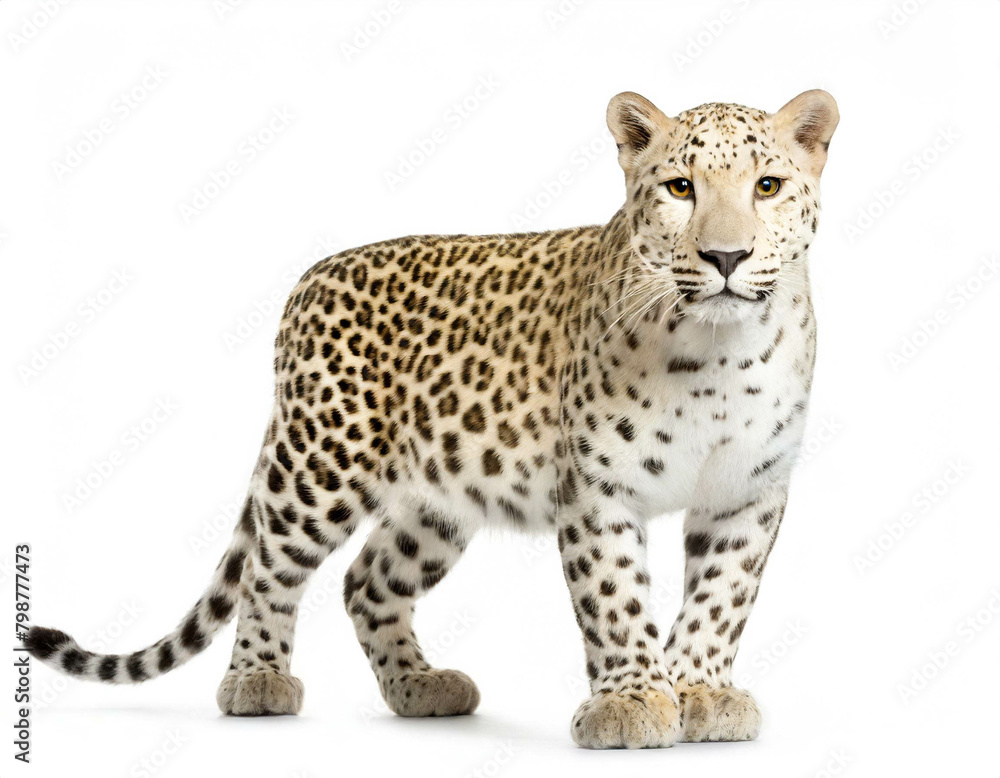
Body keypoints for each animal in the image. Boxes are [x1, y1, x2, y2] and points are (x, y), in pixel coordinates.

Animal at [24, 88, 838, 749]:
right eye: (680, 187)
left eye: (767, 186)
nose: (727, 256)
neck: (720, 357)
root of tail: (304, 284)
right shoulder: (598, 488)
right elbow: (615, 597)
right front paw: (632, 701)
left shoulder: (748, 492)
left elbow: (721, 598)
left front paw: (699, 691)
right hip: (320, 464)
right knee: (268, 568)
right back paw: (257, 681)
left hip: (437, 500)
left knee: (367, 582)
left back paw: (421, 686)